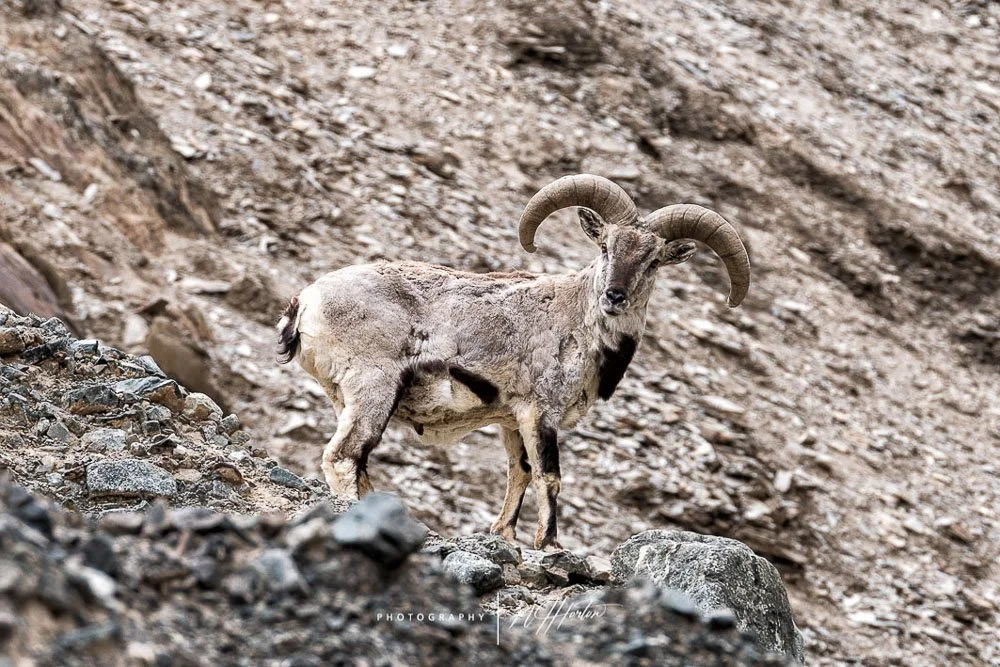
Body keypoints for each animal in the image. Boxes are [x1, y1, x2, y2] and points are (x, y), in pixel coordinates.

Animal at [276, 174, 750, 549]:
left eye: (653, 261)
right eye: (605, 246)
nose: (614, 295)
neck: (574, 318)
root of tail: (306, 302)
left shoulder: (510, 418)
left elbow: (519, 472)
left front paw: (504, 534)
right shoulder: (541, 412)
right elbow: (548, 475)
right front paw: (550, 544)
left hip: (349, 397)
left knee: (358, 461)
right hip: (372, 388)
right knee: (343, 457)